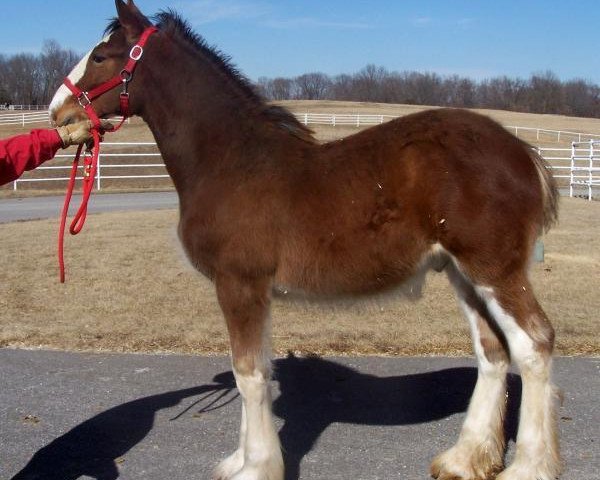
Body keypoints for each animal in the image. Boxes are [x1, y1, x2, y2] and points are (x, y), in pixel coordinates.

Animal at [49, 1, 560, 478]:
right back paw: (465, 459)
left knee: (533, 344)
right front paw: (239, 461)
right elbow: (257, 368)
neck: (233, 162)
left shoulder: (239, 284)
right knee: (493, 351)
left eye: (101, 56)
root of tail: (523, 153)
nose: (58, 112)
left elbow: (248, 374)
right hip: (462, 273)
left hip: (494, 270)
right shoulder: (250, 291)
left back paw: (528, 466)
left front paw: (257, 467)